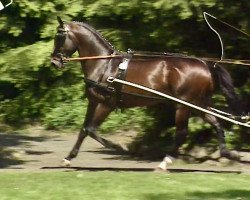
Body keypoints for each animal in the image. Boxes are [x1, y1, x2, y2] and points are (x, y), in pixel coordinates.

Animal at [50, 16, 240, 166]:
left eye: (59, 36)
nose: (54, 62)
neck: (104, 65)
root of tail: (205, 64)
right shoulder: (94, 101)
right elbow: (84, 129)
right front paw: (69, 157)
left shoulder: (107, 104)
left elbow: (91, 129)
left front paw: (118, 147)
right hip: (199, 104)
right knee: (216, 124)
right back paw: (228, 153)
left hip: (183, 105)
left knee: (181, 134)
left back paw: (164, 162)